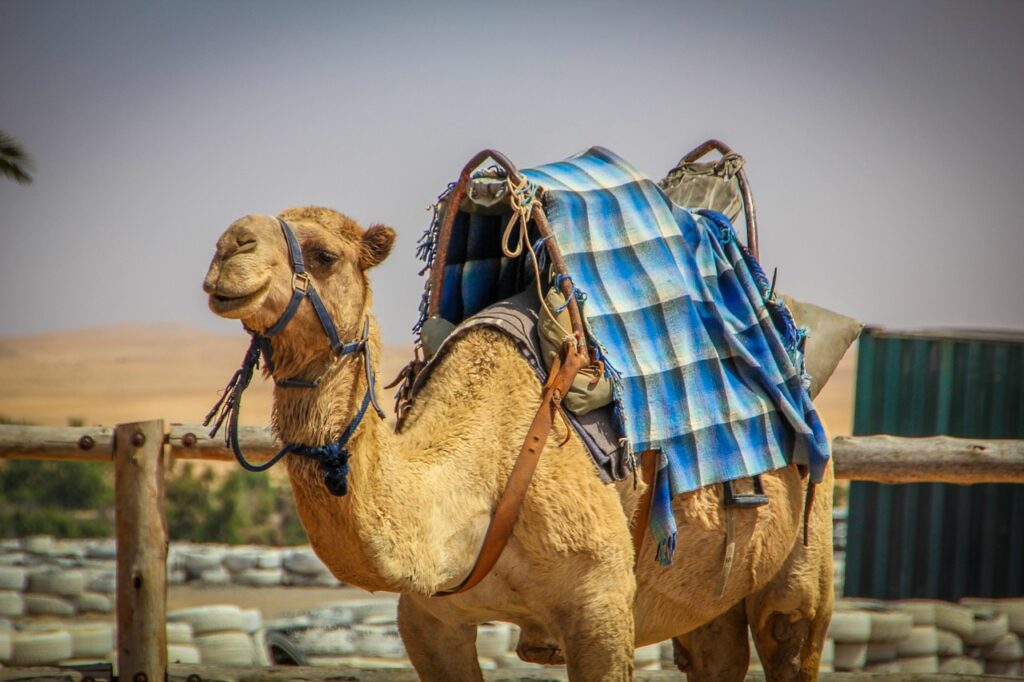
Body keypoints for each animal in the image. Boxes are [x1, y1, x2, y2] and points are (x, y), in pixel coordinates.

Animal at [202, 206, 834, 681]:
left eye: (326, 256)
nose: (229, 245)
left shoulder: (601, 607)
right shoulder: (429, 620)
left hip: (807, 538)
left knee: (790, 629)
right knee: (714, 648)